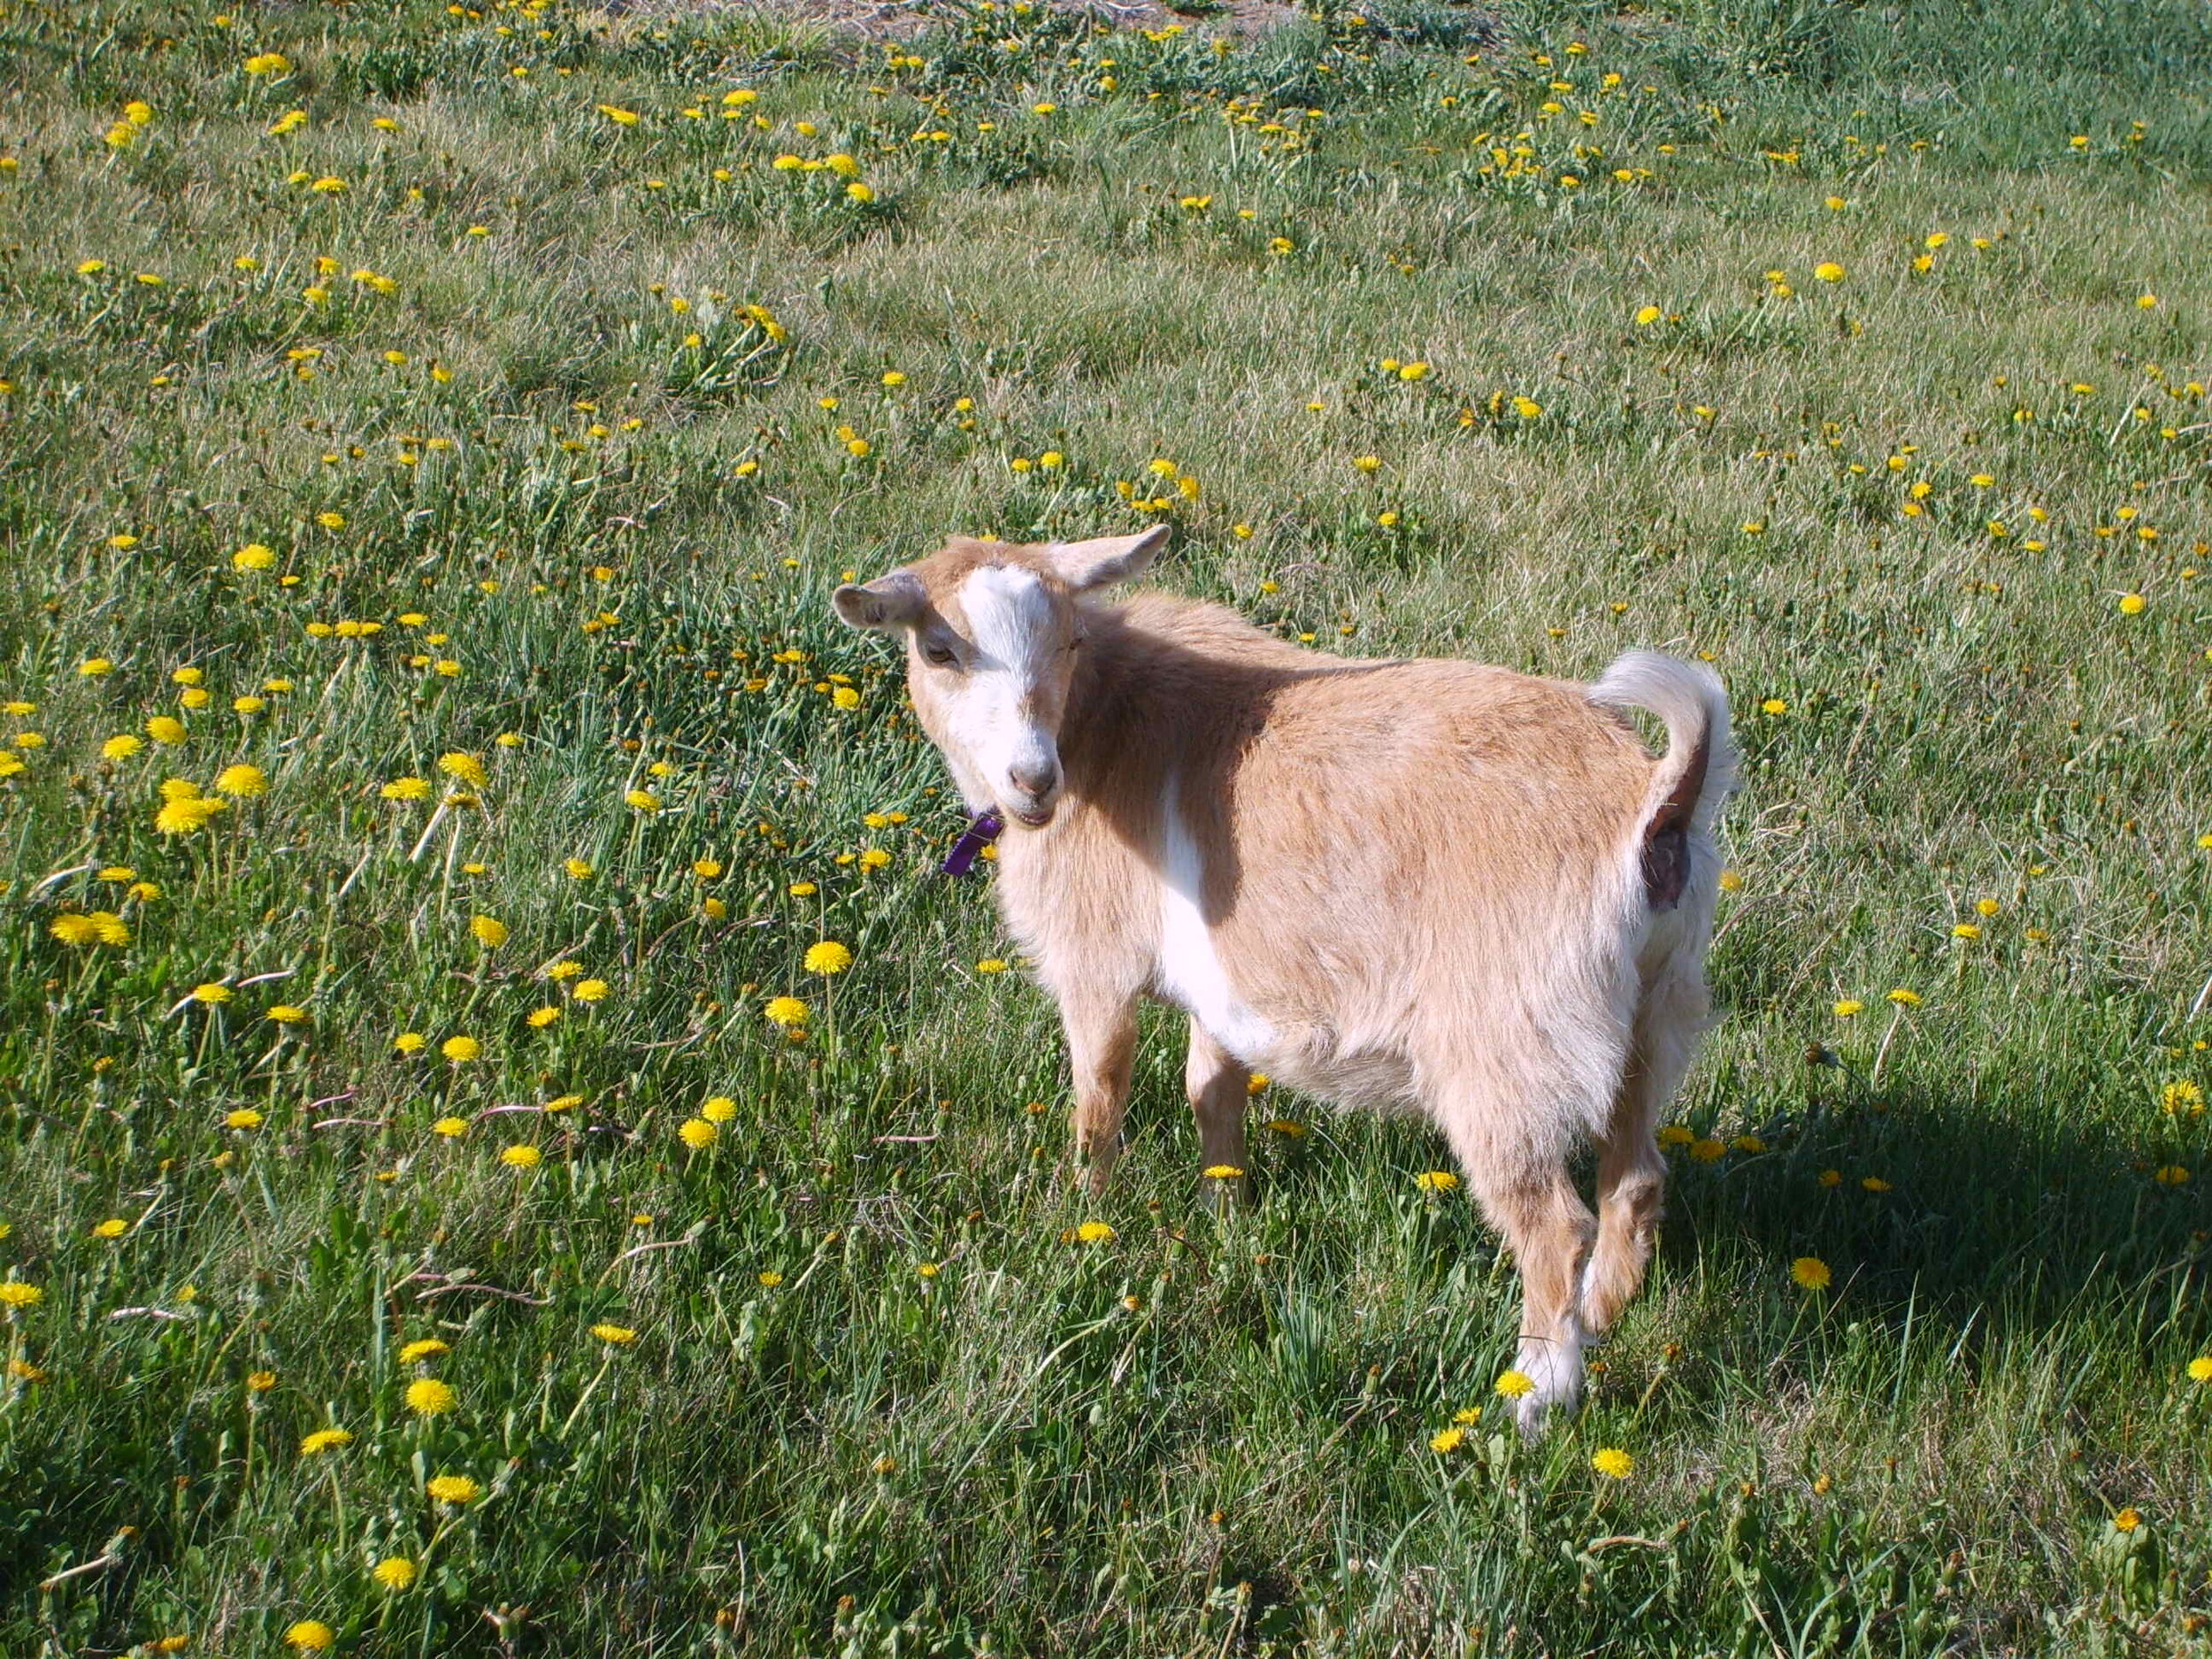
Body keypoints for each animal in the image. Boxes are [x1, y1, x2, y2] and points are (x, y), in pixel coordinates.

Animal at [836, 528, 1734, 1433]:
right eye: (938, 648)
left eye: (1069, 640)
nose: (1033, 781)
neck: (1100, 724)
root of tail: (1655, 804)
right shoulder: (1221, 985)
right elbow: (1212, 1091)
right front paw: (1224, 1216)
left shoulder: (1095, 962)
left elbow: (1100, 1099)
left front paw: (1079, 1221)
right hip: (1655, 1010)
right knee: (1635, 1177)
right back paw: (1602, 1317)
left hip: (1506, 1046)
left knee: (1555, 1225)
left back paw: (1535, 1396)